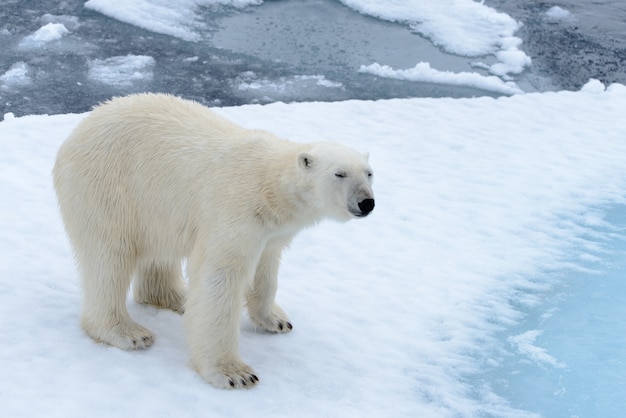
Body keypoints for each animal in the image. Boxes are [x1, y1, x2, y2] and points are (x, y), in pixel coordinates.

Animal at [52, 93, 370, 390]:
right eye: (339, 173)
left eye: (369, 173)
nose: (367, 202)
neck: (269, 186)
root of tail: (76, 132)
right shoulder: (236, 211)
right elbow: (220, 277)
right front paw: (234, 373)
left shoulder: (271, 231)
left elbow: (266, 270)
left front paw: (276, 320)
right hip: (108, 188)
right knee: (108, 258)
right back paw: (127, 332)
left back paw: (178, 298)